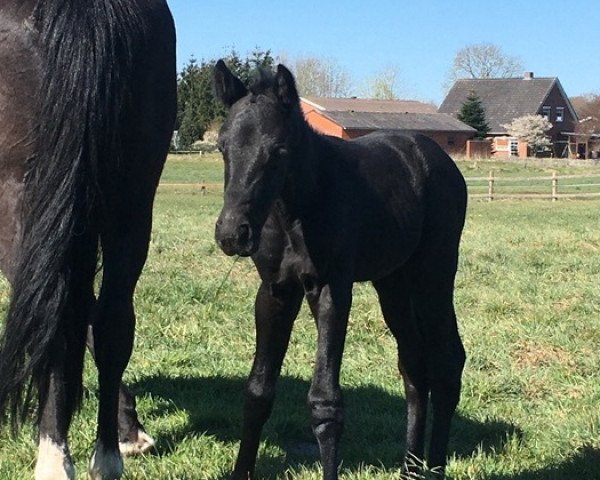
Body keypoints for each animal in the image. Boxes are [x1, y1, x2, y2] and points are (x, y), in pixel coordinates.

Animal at [214, 61, 468, 480]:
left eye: (279, 149)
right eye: (222, 146)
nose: (234, 233)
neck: (295, 210)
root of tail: (439, 158)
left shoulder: (331, 290)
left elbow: (325, 403)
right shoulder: (275, 291)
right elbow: (258, 391)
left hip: (433, 275)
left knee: (447, 361)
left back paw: (434, 467)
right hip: (393, 284)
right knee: (414, 364)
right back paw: (410, 469)